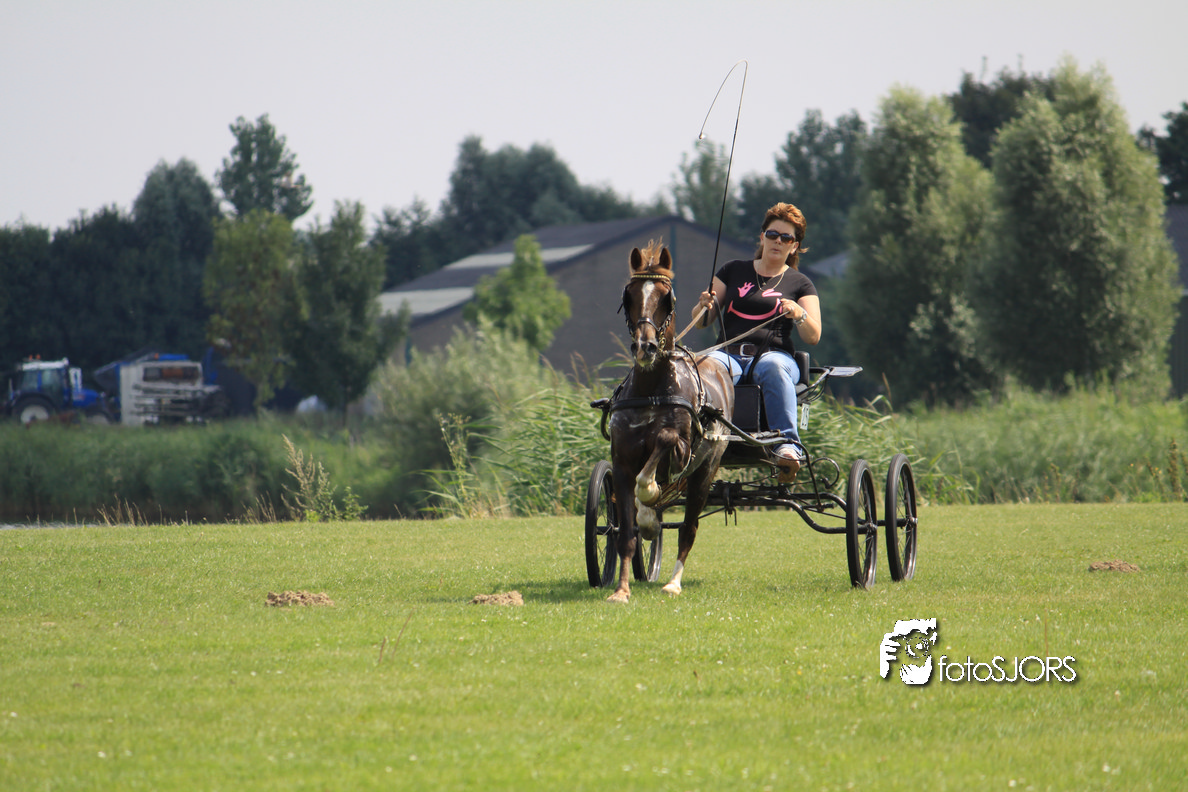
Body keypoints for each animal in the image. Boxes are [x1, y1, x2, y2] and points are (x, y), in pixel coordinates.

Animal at [604, 241, 734, 603]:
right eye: (629, 296)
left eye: (667, 298)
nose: (645, 346)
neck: (651, 391)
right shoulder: (621, 463)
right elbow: (626, 532)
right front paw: (621, 590)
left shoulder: (682, 452)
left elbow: (662, 444)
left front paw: (649, 493)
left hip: (706, 471)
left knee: (689, 527)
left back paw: (674, 582)